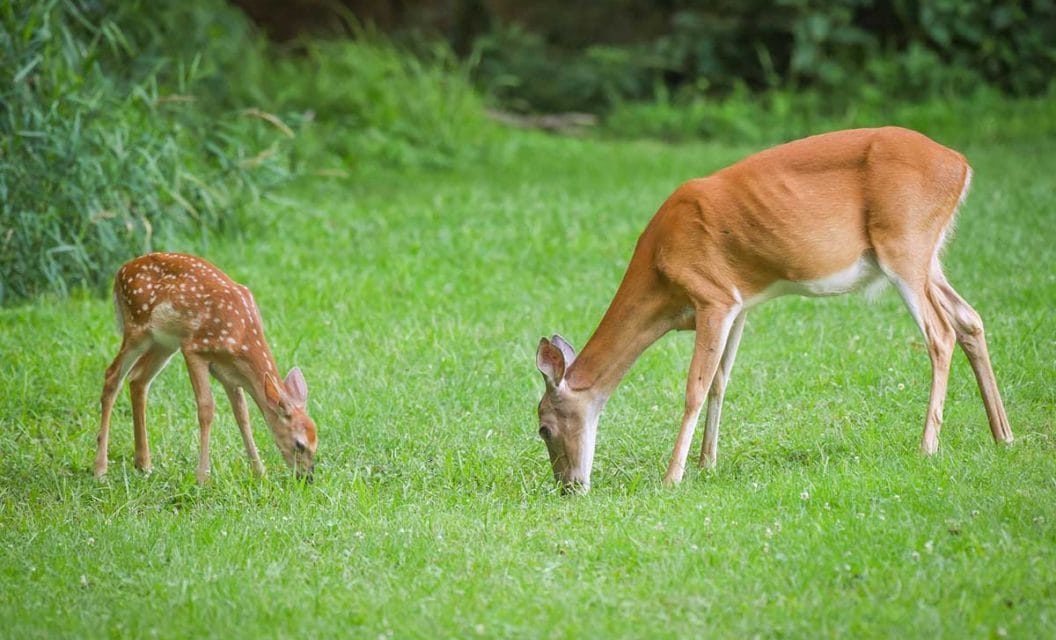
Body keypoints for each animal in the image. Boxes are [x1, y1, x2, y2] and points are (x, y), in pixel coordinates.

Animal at [93, 253, 316, 483]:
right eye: (299, 444)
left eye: (315, 443)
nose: (307, 477)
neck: (241, 335)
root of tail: (120, 271)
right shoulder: (194, 349)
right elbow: (206, 408)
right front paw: (202, 477)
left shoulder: (229, 373)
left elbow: (242, 415)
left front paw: (260, 472)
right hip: (137, 327)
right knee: (112, 376)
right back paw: (100, 469)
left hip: (164, 343)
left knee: (138, 379)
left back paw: (144, 464)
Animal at [536, 127, 1013, 494]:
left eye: (543, 427)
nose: (568, 487)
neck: (660, 275)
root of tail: (960, 164)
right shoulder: (739, 304)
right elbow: (720, 382)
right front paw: (707, 464)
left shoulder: (712, 294)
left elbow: (695, 388)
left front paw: (672, 477)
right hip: (928, 256)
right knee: (970, 319)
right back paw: (1003, 436)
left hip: (905, 243)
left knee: (940, 333)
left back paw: (928, 446)